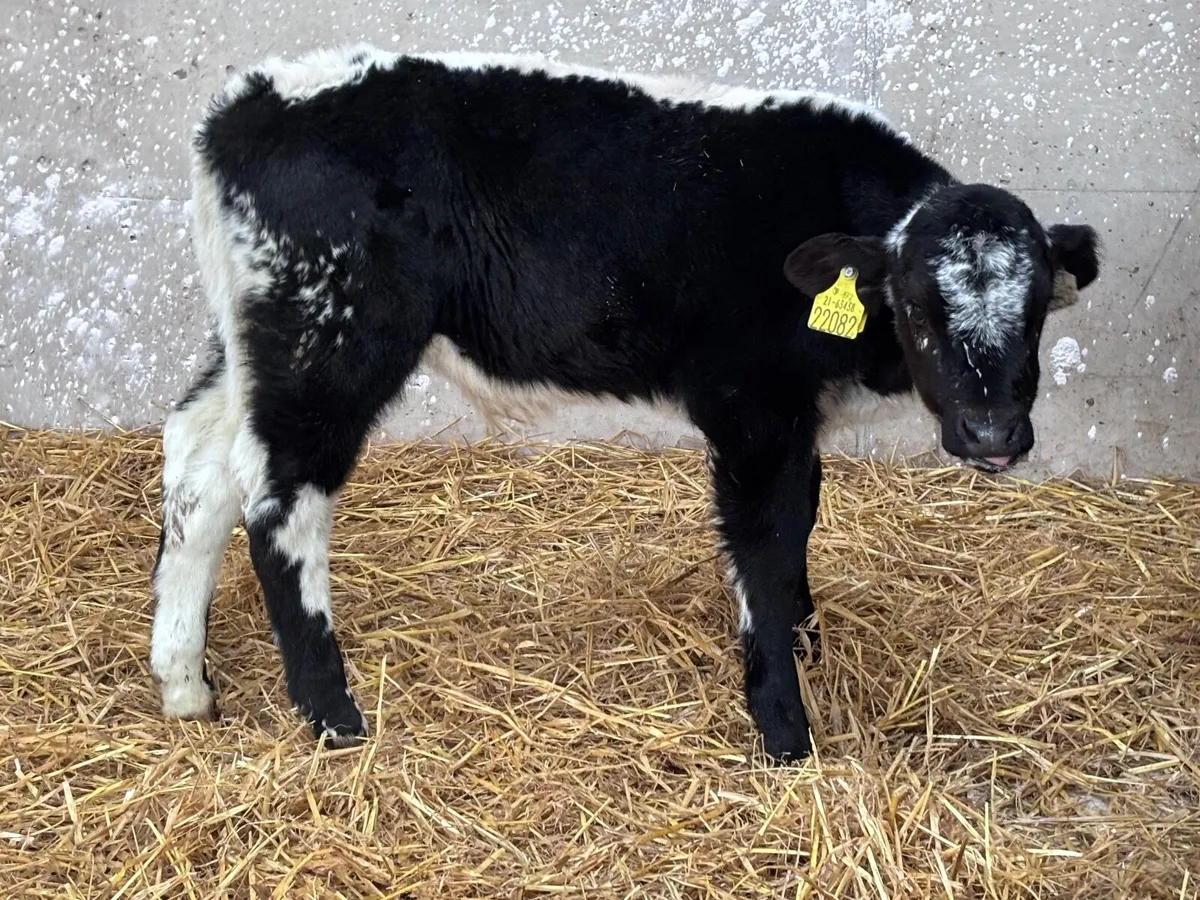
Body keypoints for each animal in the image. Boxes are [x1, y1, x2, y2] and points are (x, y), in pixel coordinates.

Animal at [149, 45, 1101, 762]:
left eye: (1037, 310)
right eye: (915, 307)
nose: (993, 432)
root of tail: (250, 100)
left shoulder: (796, 416)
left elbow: (804, 518)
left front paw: (806, 638)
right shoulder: (750, 407)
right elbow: (765, 542)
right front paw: (784, 727)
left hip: (260, 335)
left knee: (200, 459)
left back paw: (184, 681)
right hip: (335, 336)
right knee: (281, 495)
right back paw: (331, 715)